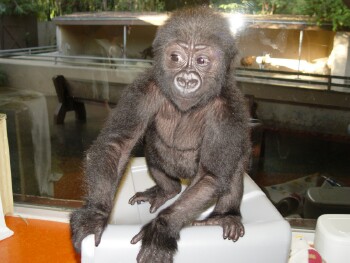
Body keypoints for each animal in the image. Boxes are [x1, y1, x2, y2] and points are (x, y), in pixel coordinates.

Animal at [70, 6, 252, 263]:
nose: (186, 79)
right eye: (176, 58)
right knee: (154, 150)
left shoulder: (230, 109)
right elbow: (116, 145)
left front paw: (161, 229)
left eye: (201, 61)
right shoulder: (143, 89)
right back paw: (168, 190)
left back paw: (225, 215)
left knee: (234, 165)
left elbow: (212, 176)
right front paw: (95, 214)